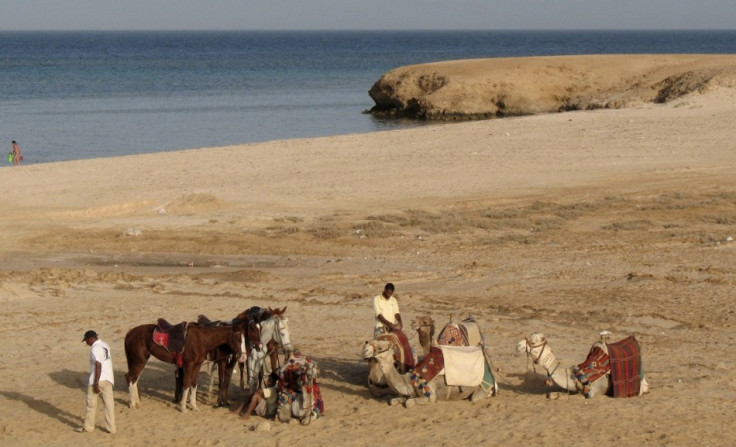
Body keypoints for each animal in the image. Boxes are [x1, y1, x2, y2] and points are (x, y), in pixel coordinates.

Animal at [362, 340, 494, 406]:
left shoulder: (430, 395)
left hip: (482, 387)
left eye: (380, 347)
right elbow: (393, 400)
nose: (365, 349)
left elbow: (409, 403)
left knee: (477, 397)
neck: (410, 379)